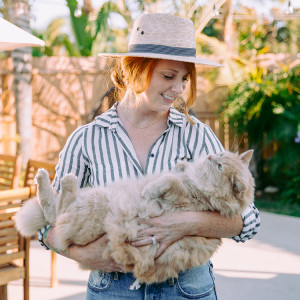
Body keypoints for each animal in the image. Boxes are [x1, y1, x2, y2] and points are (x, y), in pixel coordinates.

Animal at [15, 150, 255, 284]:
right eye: (221, 156)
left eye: (220, 166)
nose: (210, 156)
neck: (204, 191)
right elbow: (175, 171)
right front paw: (182, 164)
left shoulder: (181, 197)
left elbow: (168, 180)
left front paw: (149, 190)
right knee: (53, 214)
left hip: (94, 204)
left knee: (55, 210)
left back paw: (56, 179)